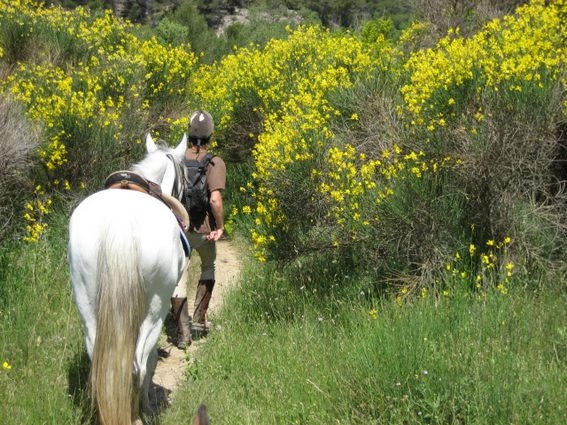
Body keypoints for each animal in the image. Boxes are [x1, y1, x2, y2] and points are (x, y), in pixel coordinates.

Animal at [69, 134, 189, 422]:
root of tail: (119, 223)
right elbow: (152, 358)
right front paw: (146, 404)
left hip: (87, 305)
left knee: (99, 364)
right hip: (154, 310)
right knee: (139, 365)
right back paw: (137, 412)